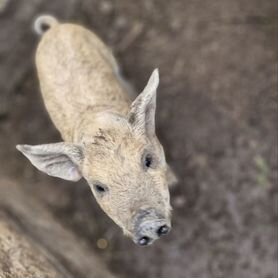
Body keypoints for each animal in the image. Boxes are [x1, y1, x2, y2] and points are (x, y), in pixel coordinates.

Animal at [17, 14, 177, 245]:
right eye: (99, 187)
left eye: (148, 160)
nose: (146, 224)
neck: (98, 125)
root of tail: (54, 28)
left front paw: (173, 181)